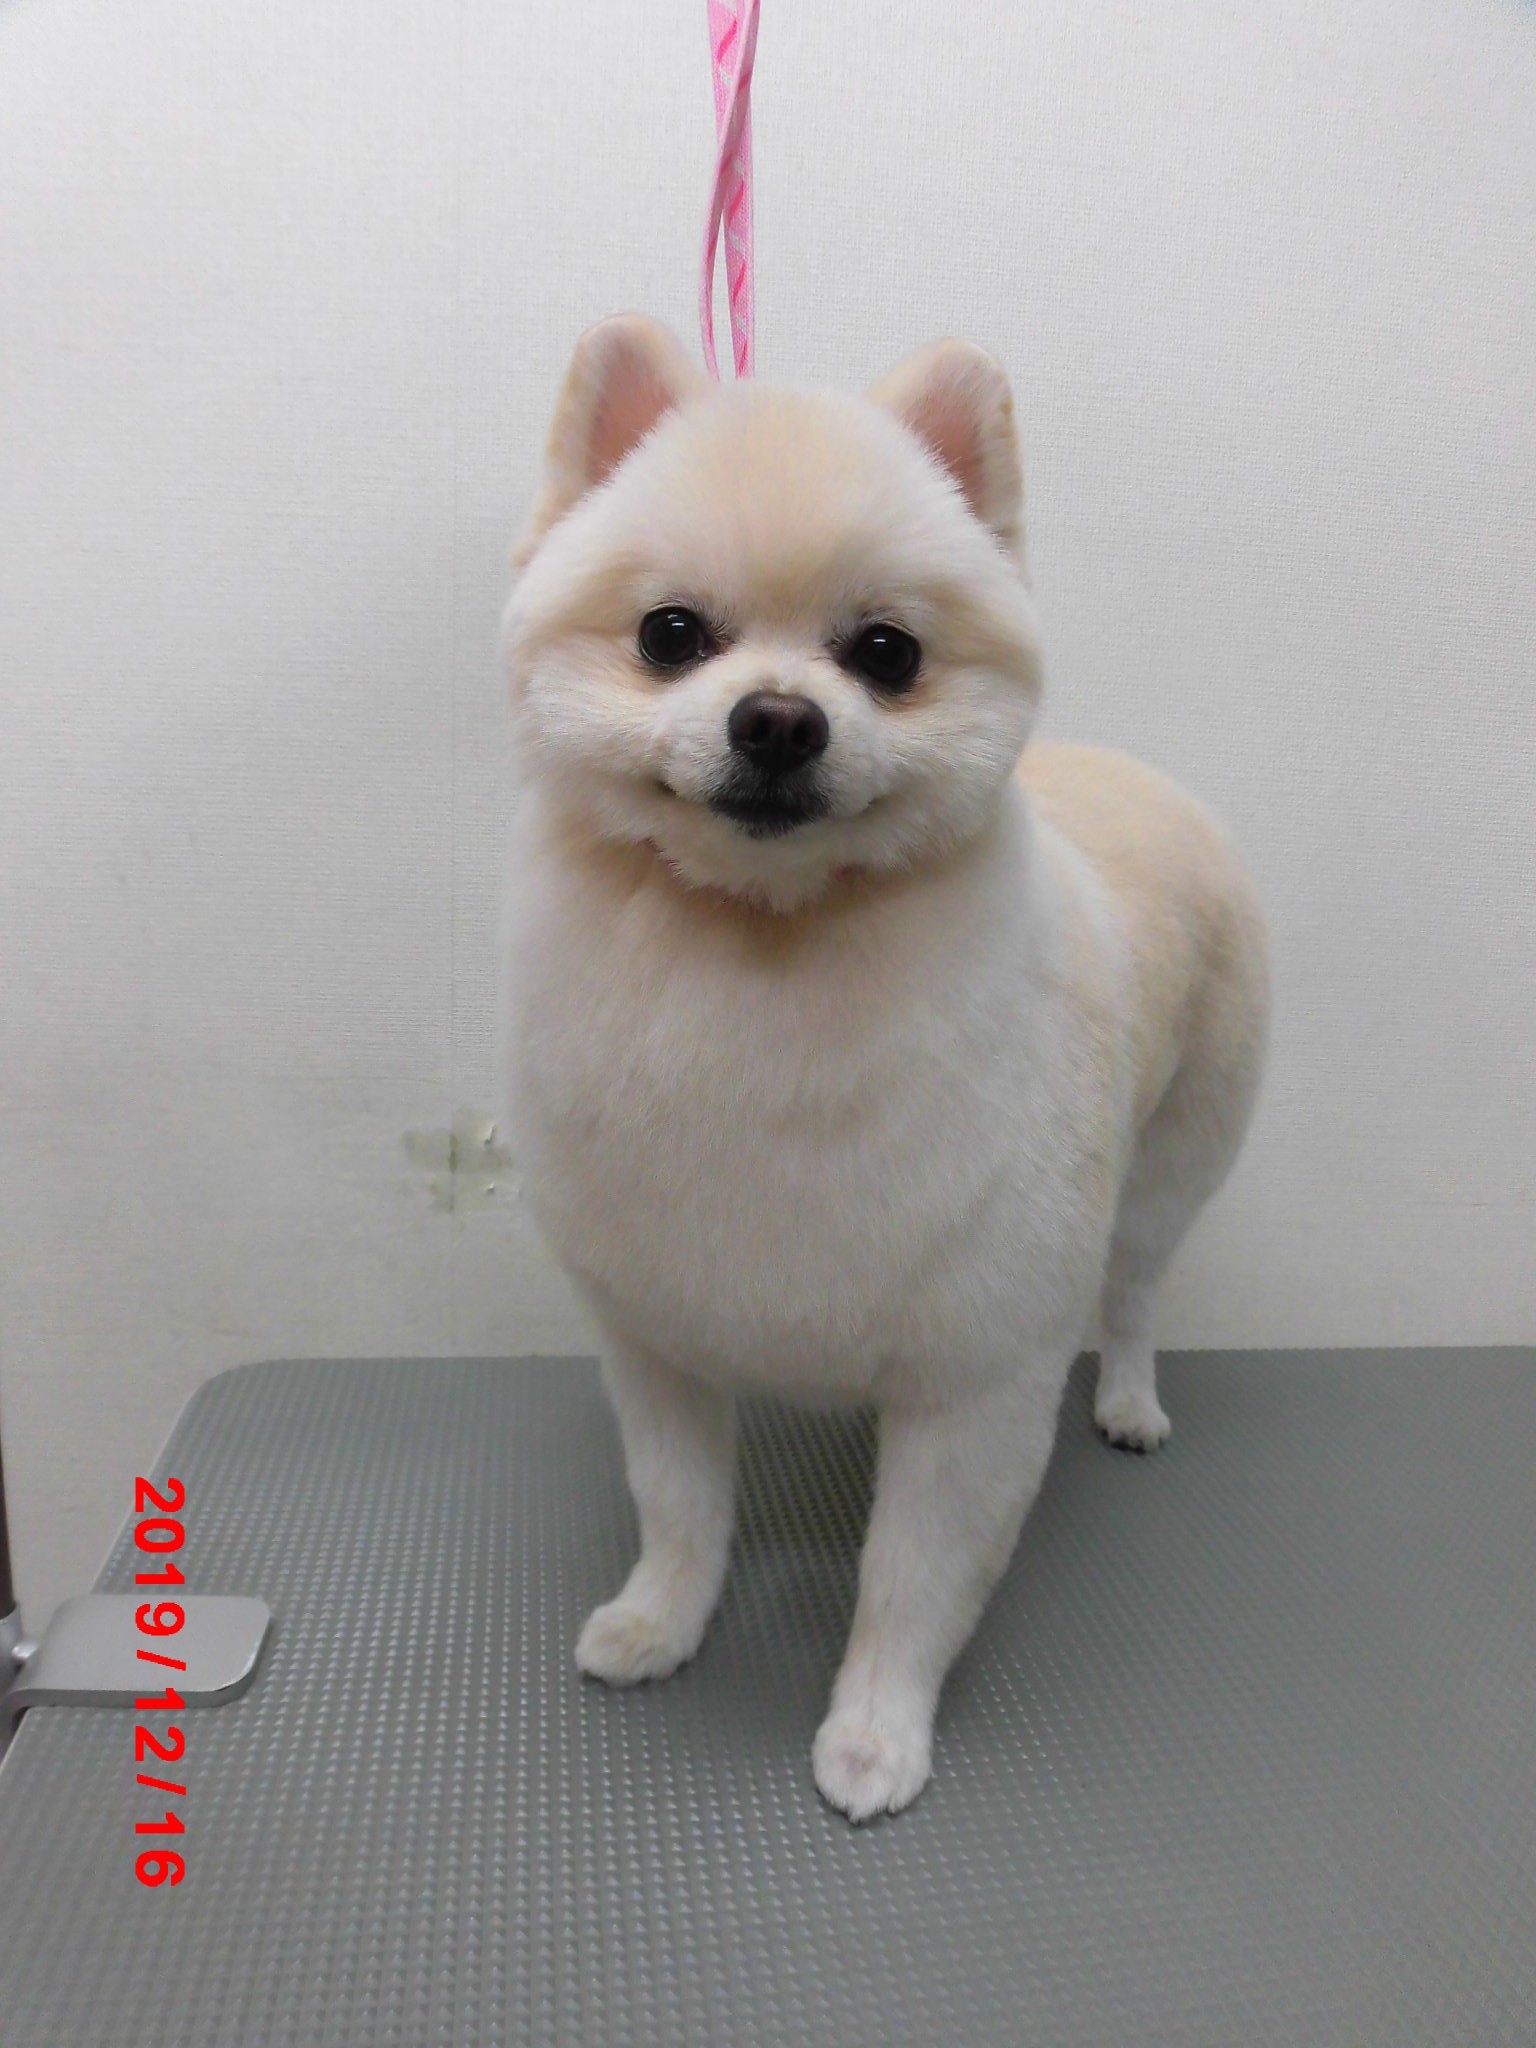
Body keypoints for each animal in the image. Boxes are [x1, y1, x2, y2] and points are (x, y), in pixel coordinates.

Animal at [500, 314, 1269, 1821]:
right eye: (668, 634)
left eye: (886, 652)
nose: (779, 720)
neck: (766, 949)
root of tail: (1146, 777)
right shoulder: (656, 1330)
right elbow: (682, 1507)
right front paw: (660, 1620)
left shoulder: (977, 1377)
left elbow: (914, 1579)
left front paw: (874, 1733)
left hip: (1176, 1163)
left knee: (1135, 1288)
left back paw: (1132, 1400)